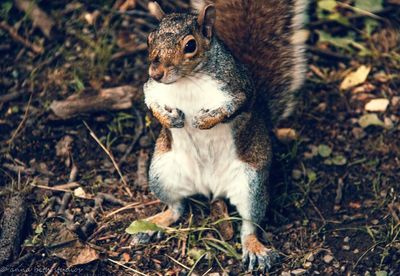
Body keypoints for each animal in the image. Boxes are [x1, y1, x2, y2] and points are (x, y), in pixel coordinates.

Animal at [131, 0, 310, 272]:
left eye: (190, 45)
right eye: (149, 38)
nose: (156, 72)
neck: (187, 80)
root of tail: (210, 187)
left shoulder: (239, 89)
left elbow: (232, 107)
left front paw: (203, 121)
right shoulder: (152, 88)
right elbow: (150, 101)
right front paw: (170, 119)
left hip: (251, 184)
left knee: (249, 224)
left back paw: (255, 249)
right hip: (162, 173)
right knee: (176, 207)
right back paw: (153, 224)